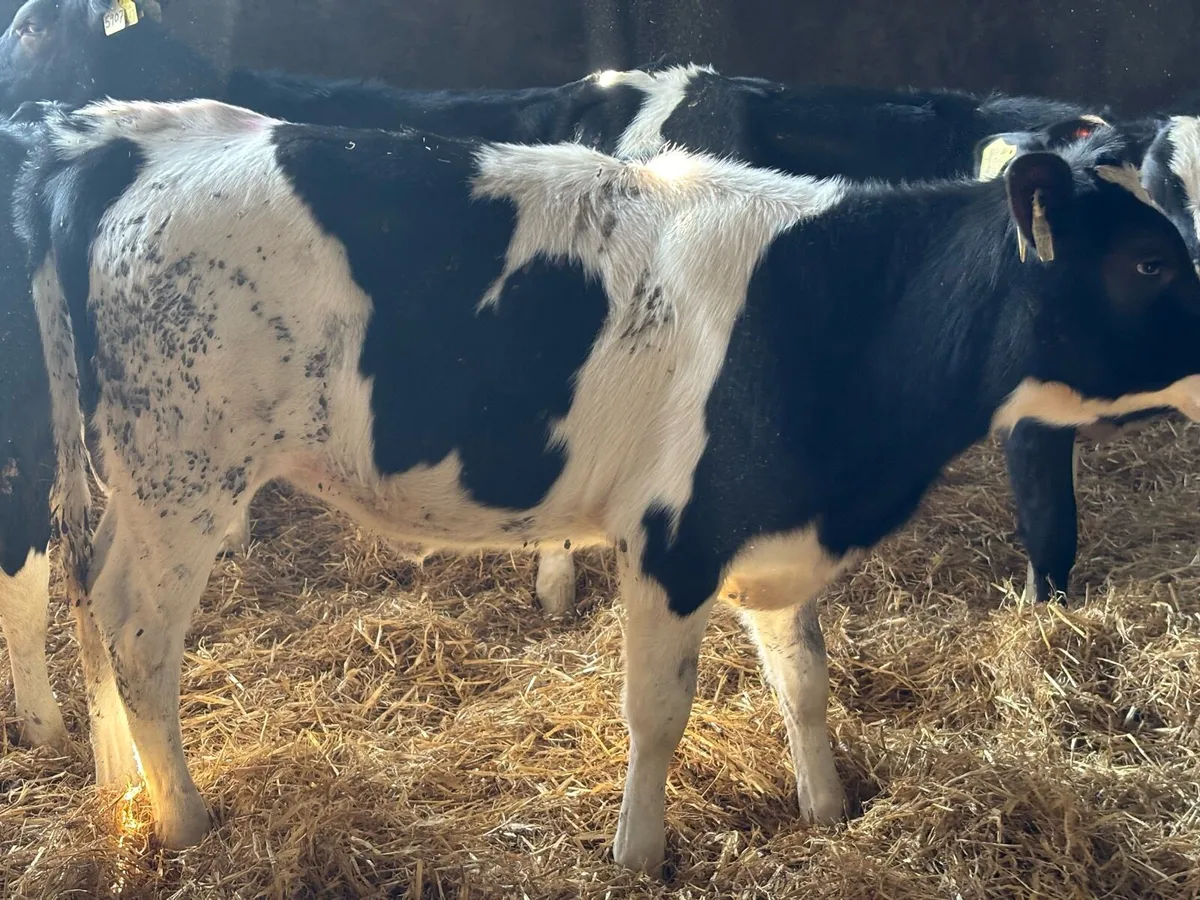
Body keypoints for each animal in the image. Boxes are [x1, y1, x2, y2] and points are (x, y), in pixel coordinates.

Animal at [17, 98, 1200, 872]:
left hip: (138, 482)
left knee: (89, 599)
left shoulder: (771, 527)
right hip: (184, 472)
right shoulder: (674, 537)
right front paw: (639, 854)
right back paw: (183, 821)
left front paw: (825, 811)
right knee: (137, 631)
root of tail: (119, 136)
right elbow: (658, 712)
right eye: (1149, 263)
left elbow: (804, 681)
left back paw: (123, 787)